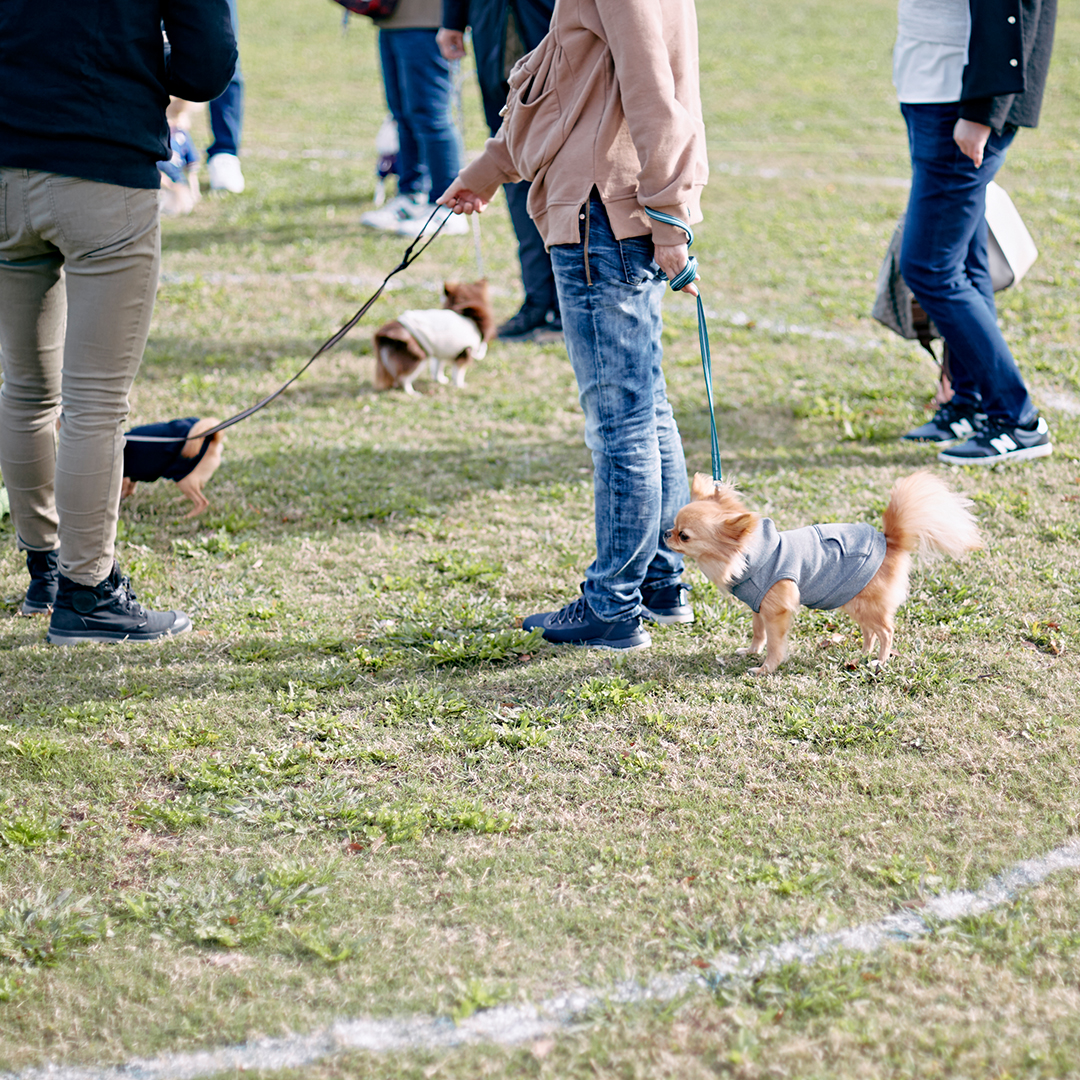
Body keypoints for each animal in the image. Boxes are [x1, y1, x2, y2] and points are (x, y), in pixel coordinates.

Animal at [660, 473, 984, 673]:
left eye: (684, 536)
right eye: (673, 525)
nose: (665, 534)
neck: (749, 555)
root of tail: (889, 539)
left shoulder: (777, 611)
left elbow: (775, 643)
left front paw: (765, 668)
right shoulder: (758, 607)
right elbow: (758, 632)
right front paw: (751, 651)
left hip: (866, 604)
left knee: (886, 631)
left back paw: (879, 662)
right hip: (854, 599)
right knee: (870, 631)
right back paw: (863, 654)